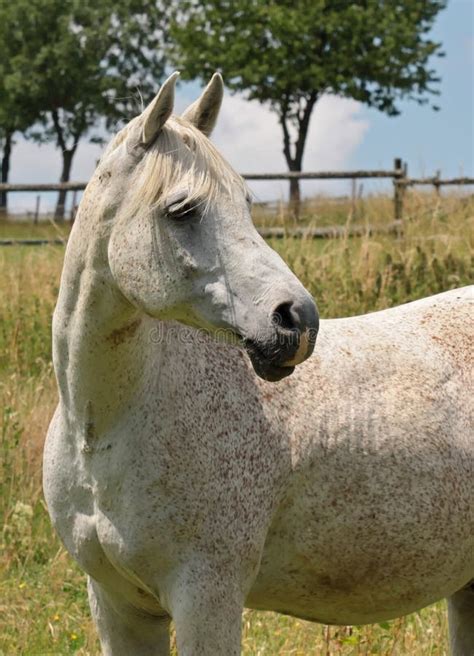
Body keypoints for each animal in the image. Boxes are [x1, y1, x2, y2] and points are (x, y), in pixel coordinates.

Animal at [42, 73, 472, 656]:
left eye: (246, 204)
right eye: (182, 210)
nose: (298, 320)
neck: (102, 428)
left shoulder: (207, 597)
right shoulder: (117, 604)